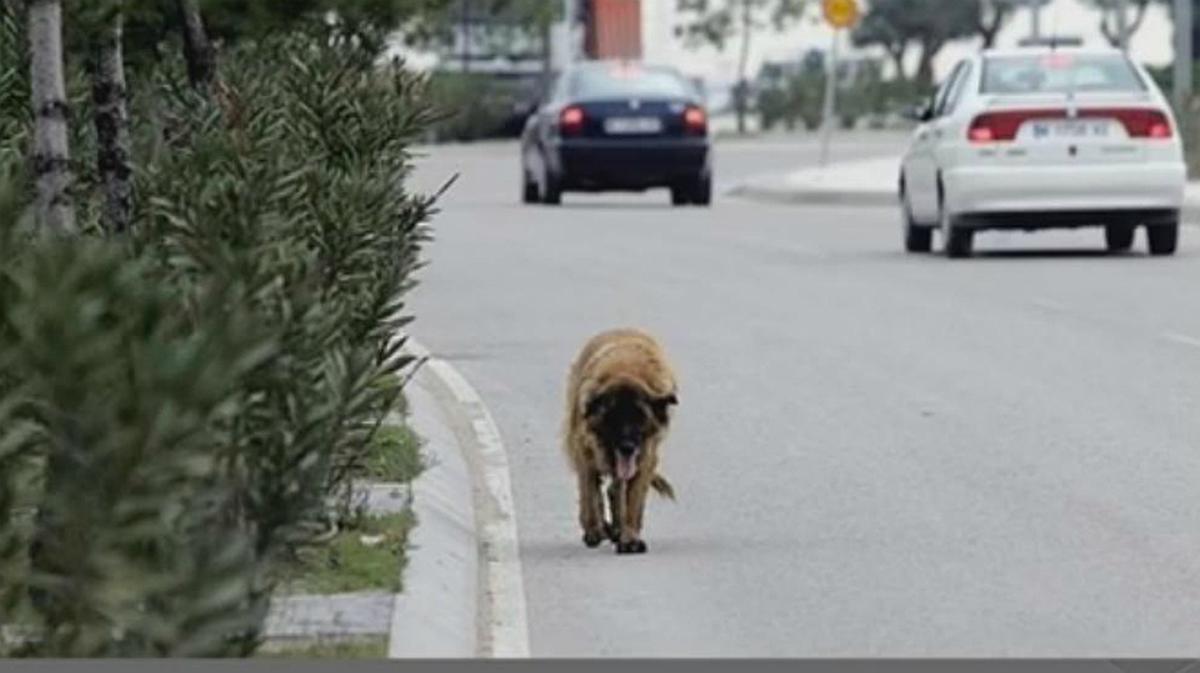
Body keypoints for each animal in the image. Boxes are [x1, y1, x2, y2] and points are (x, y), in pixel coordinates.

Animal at [561, 328, 676, 554]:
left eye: (639, 417)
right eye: (613, 418)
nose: (627, 448)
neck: (626, 371)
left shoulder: (645, 458)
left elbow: (632, 503)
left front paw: (629, 537)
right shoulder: (584, 451)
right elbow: (589, 494)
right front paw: (594, 530)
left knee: (615, 490)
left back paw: (616, 528)